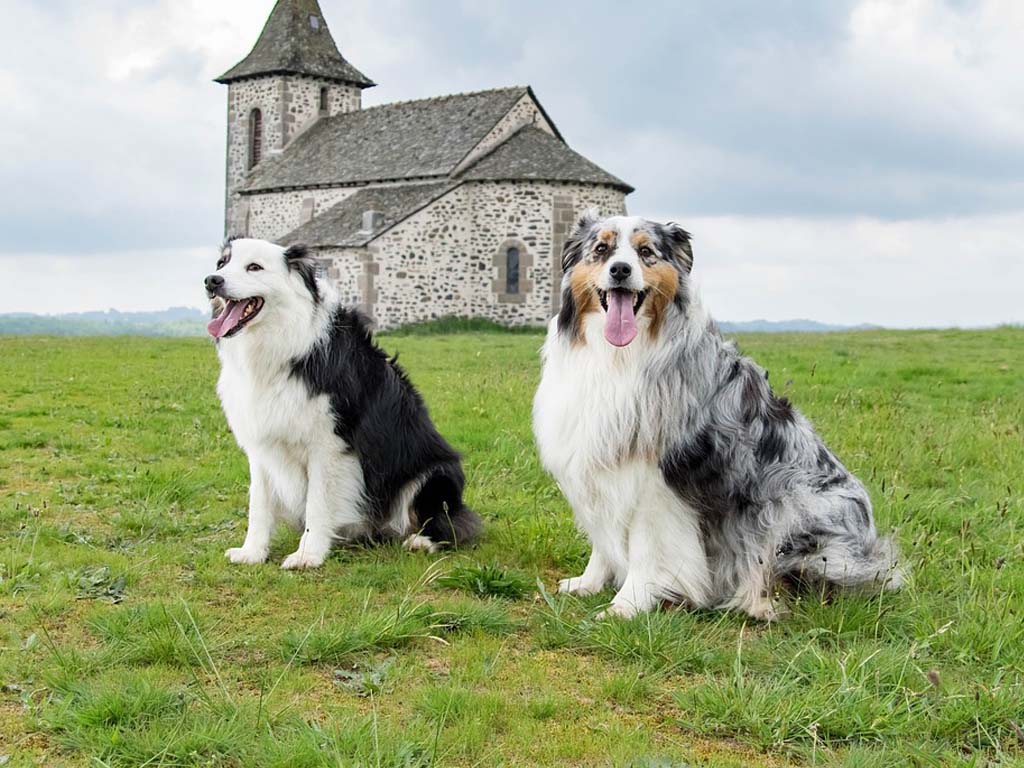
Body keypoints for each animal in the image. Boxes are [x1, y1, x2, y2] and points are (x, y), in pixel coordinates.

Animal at [207, 237, 483, 569]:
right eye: (222, 263)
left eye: (254, 267)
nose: (211, 280)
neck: (286, 341)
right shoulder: (262, 445)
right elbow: (258, 504)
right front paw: (252, 552)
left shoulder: (330, 445)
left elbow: (317, 503)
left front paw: (307, 555)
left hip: (436, 473)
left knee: (451, 523)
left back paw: (421, 541)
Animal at [532, 214, 901, 622]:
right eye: (601, 249)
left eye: (646, 252)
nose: (621, 270)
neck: (618, 357)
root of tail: (874, 551)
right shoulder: (598, 463)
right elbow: (603, 534)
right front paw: (589, 583)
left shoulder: (658, 481)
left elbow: (645, 547)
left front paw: (627, 605)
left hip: (791, 509)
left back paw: (756, 601)